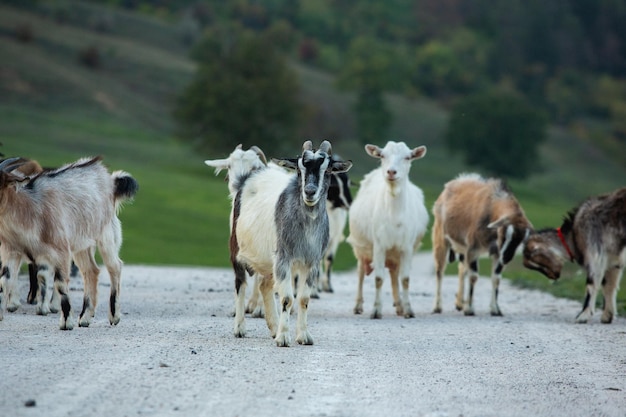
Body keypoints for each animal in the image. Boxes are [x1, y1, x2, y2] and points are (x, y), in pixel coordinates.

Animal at [0, 155, 137, 328]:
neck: (29, 210)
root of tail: (111, 181)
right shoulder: (11, 250)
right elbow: (5, 281)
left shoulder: (60, 249)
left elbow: (59, 282)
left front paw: (66, 322)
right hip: (82, 244)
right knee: (90, 270)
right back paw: (85, 317)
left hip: (106, 234)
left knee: (115, 266)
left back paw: (113, 316)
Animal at [346, 141, 428, 318]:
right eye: (382, 155)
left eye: (408, 157)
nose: (391, 172)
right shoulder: (379, 245)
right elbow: (378, 279)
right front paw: (376, 311)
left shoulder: (407, 247)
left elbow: (405, 279)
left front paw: (408, 310)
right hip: (360, 248)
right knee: (360, 273)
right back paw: (358, 305)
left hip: (395, 253)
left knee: (394, 274)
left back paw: (399, 305)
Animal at [428, 173, 532, 316]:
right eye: (503, 233)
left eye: (522, 240)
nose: (507, 258)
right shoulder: (473, 248)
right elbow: (473, 276)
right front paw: (470, 309)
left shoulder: (496, 252)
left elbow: (496, 278)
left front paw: (495, 309)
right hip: (440, 236)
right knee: (440, 270)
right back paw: (437, 307)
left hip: (462, 247)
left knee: (462, 268)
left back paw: (459, 303)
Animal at [520, 187, 624, 324]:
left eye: (537, 261)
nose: (554, 276)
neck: (573, 235)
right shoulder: (613, 260)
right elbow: (609, 286)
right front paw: (607, 316)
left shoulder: (595, 253)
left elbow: (591, 284)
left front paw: (583, 316)